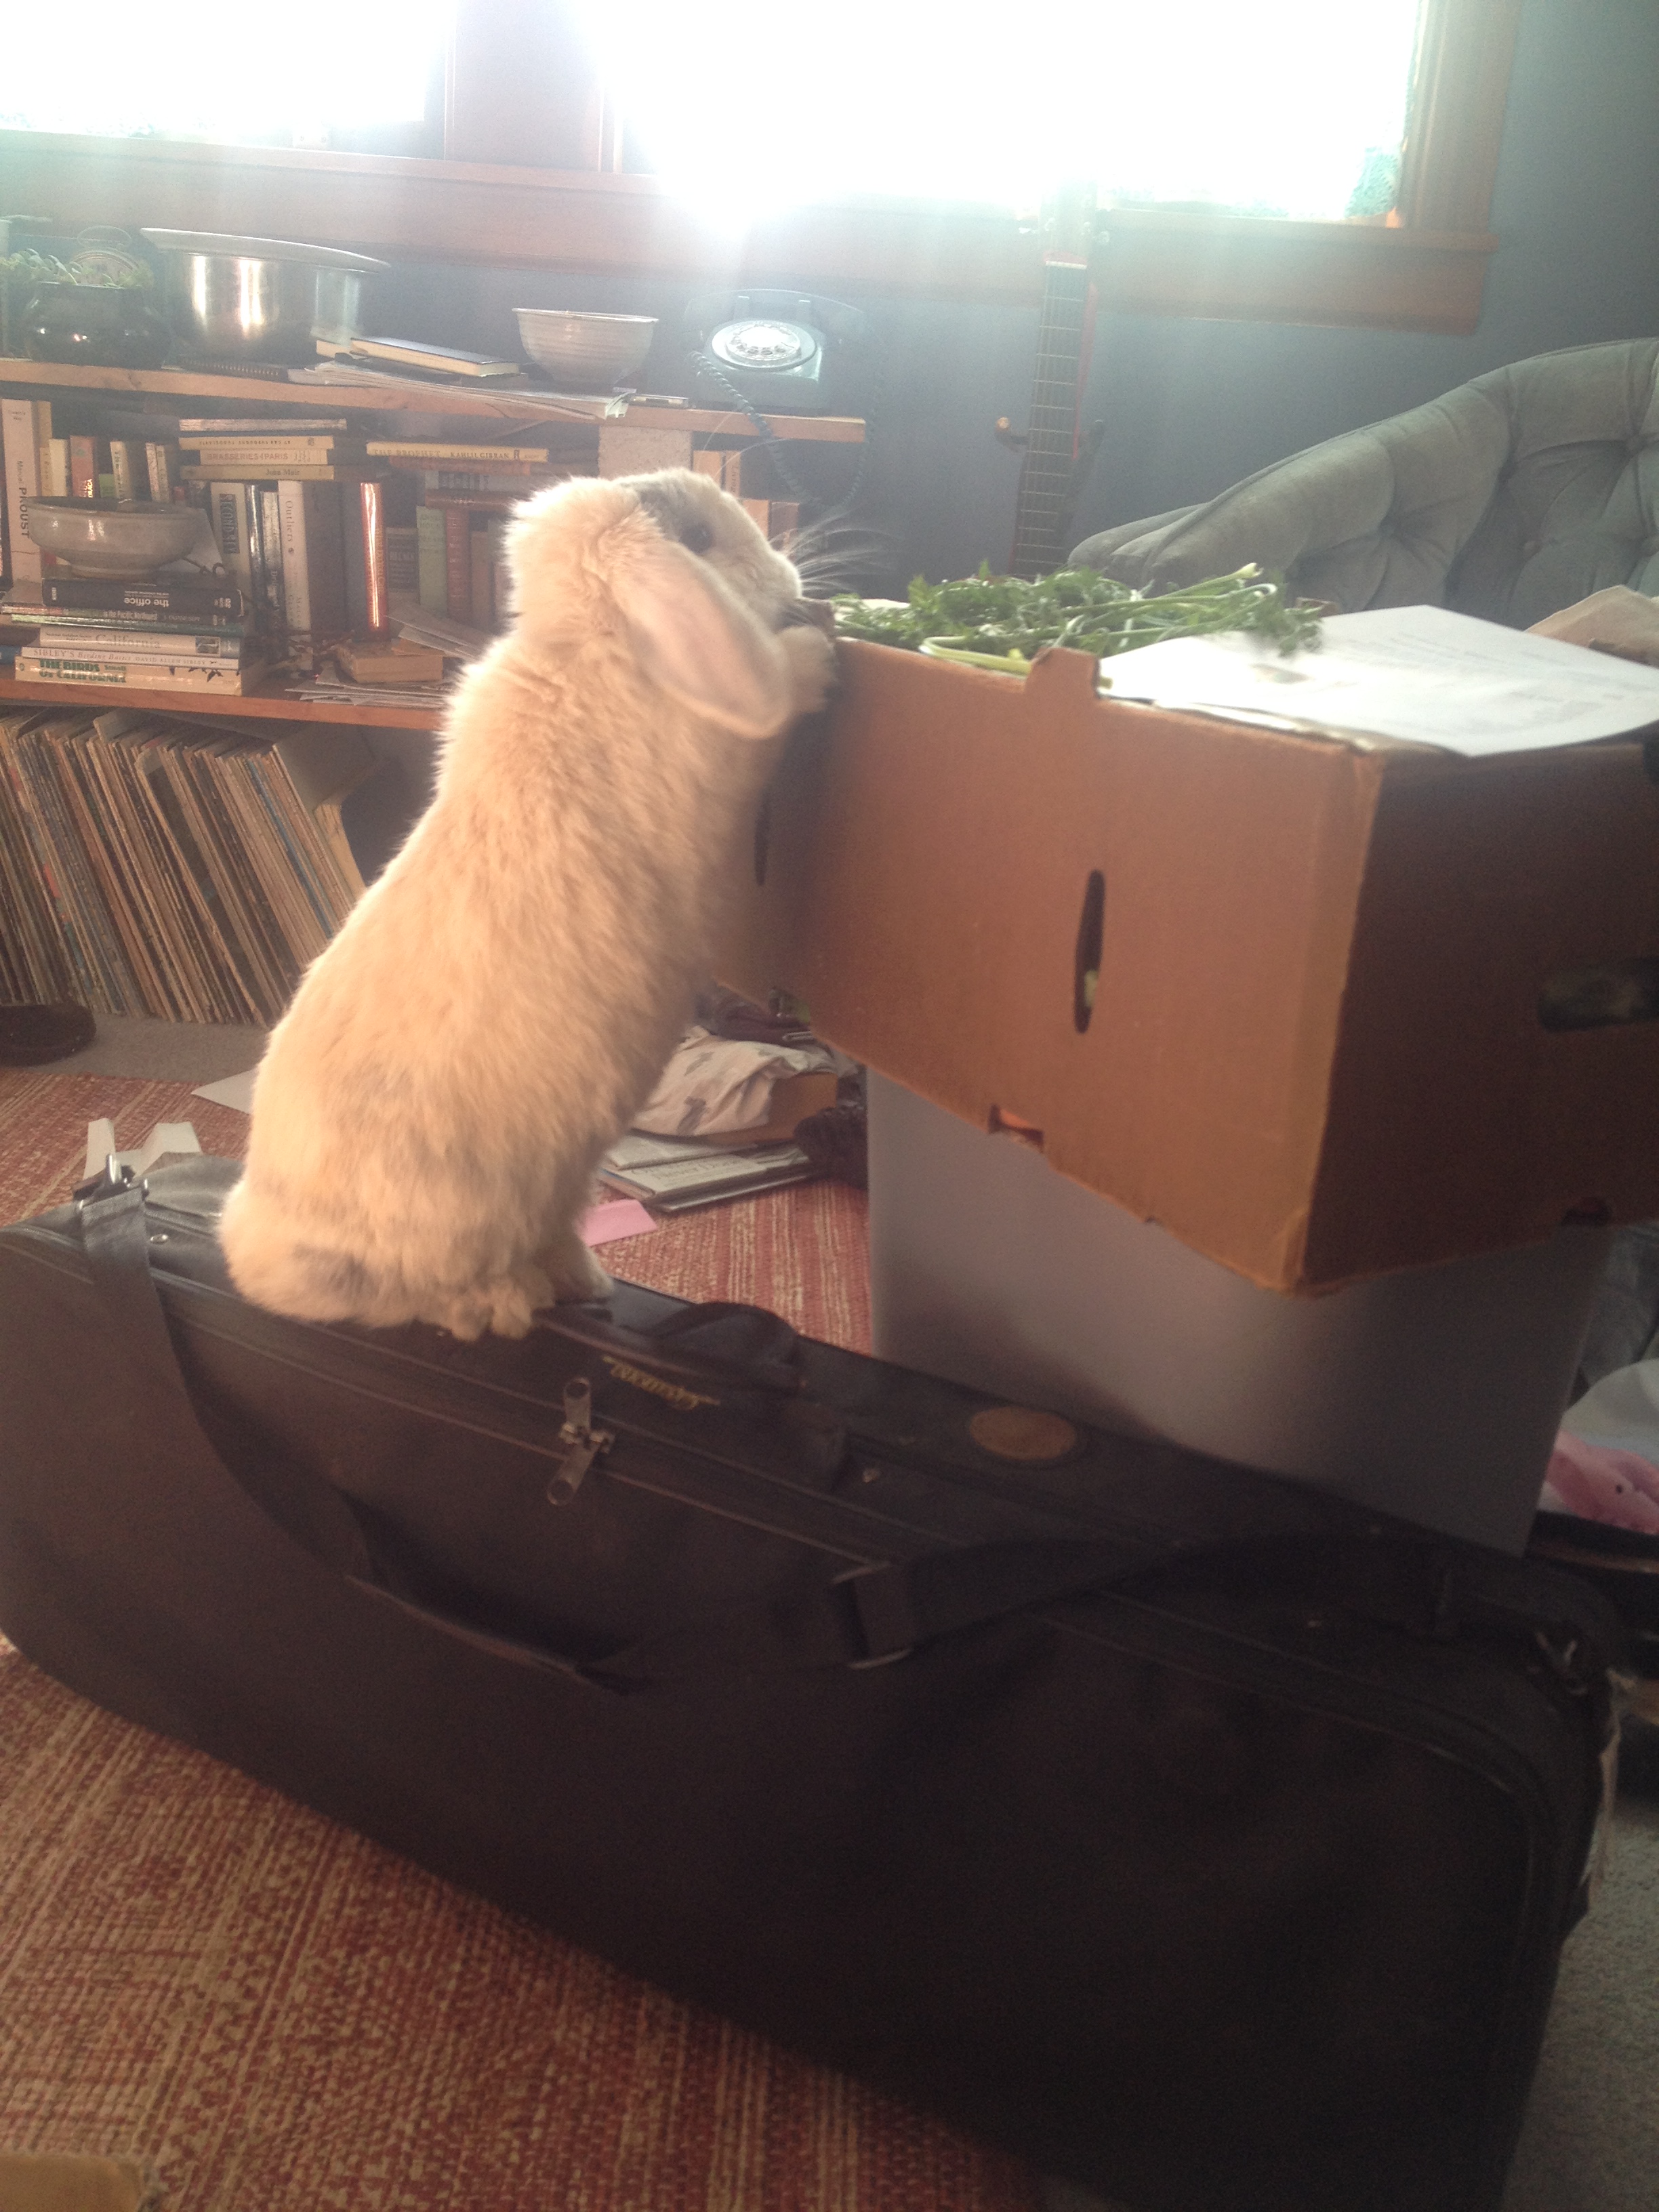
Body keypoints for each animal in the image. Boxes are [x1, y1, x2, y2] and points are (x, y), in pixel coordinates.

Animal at [218, 466, 836, 1341]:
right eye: (700, 541)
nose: (792, 582)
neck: (601, 645)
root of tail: (268, 1263)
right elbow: (783, 683)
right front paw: (818, 651)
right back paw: (514, 1300)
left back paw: (584, 1280)